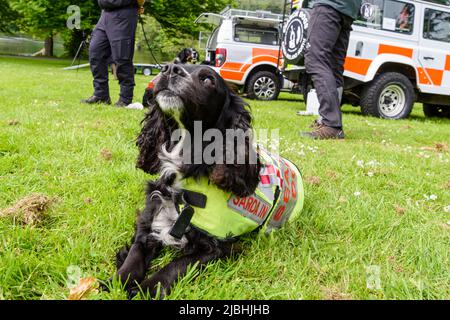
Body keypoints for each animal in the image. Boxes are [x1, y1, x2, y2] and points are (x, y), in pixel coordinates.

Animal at [110, 63, 304, 298]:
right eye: (174, 63)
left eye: (208, 80)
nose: (170, 68)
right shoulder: (150, 219)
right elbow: (134, 256)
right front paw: (115, 283)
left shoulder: (214, 246)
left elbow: (174, 266)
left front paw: (145, 289)